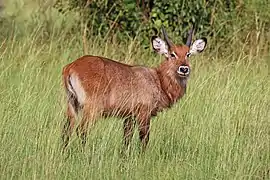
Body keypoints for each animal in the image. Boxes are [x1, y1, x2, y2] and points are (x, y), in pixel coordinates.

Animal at [62, 25, 208, 149]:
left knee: (66, 131)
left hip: (72, 104)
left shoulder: (129, 117)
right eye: (172, 54)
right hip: (92, 108)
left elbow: (126, 140)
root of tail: (71, 66)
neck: (159, 80)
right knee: (82, 130)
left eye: (188, 54)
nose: (184, 69)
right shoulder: (143, 113)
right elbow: (144, 139)